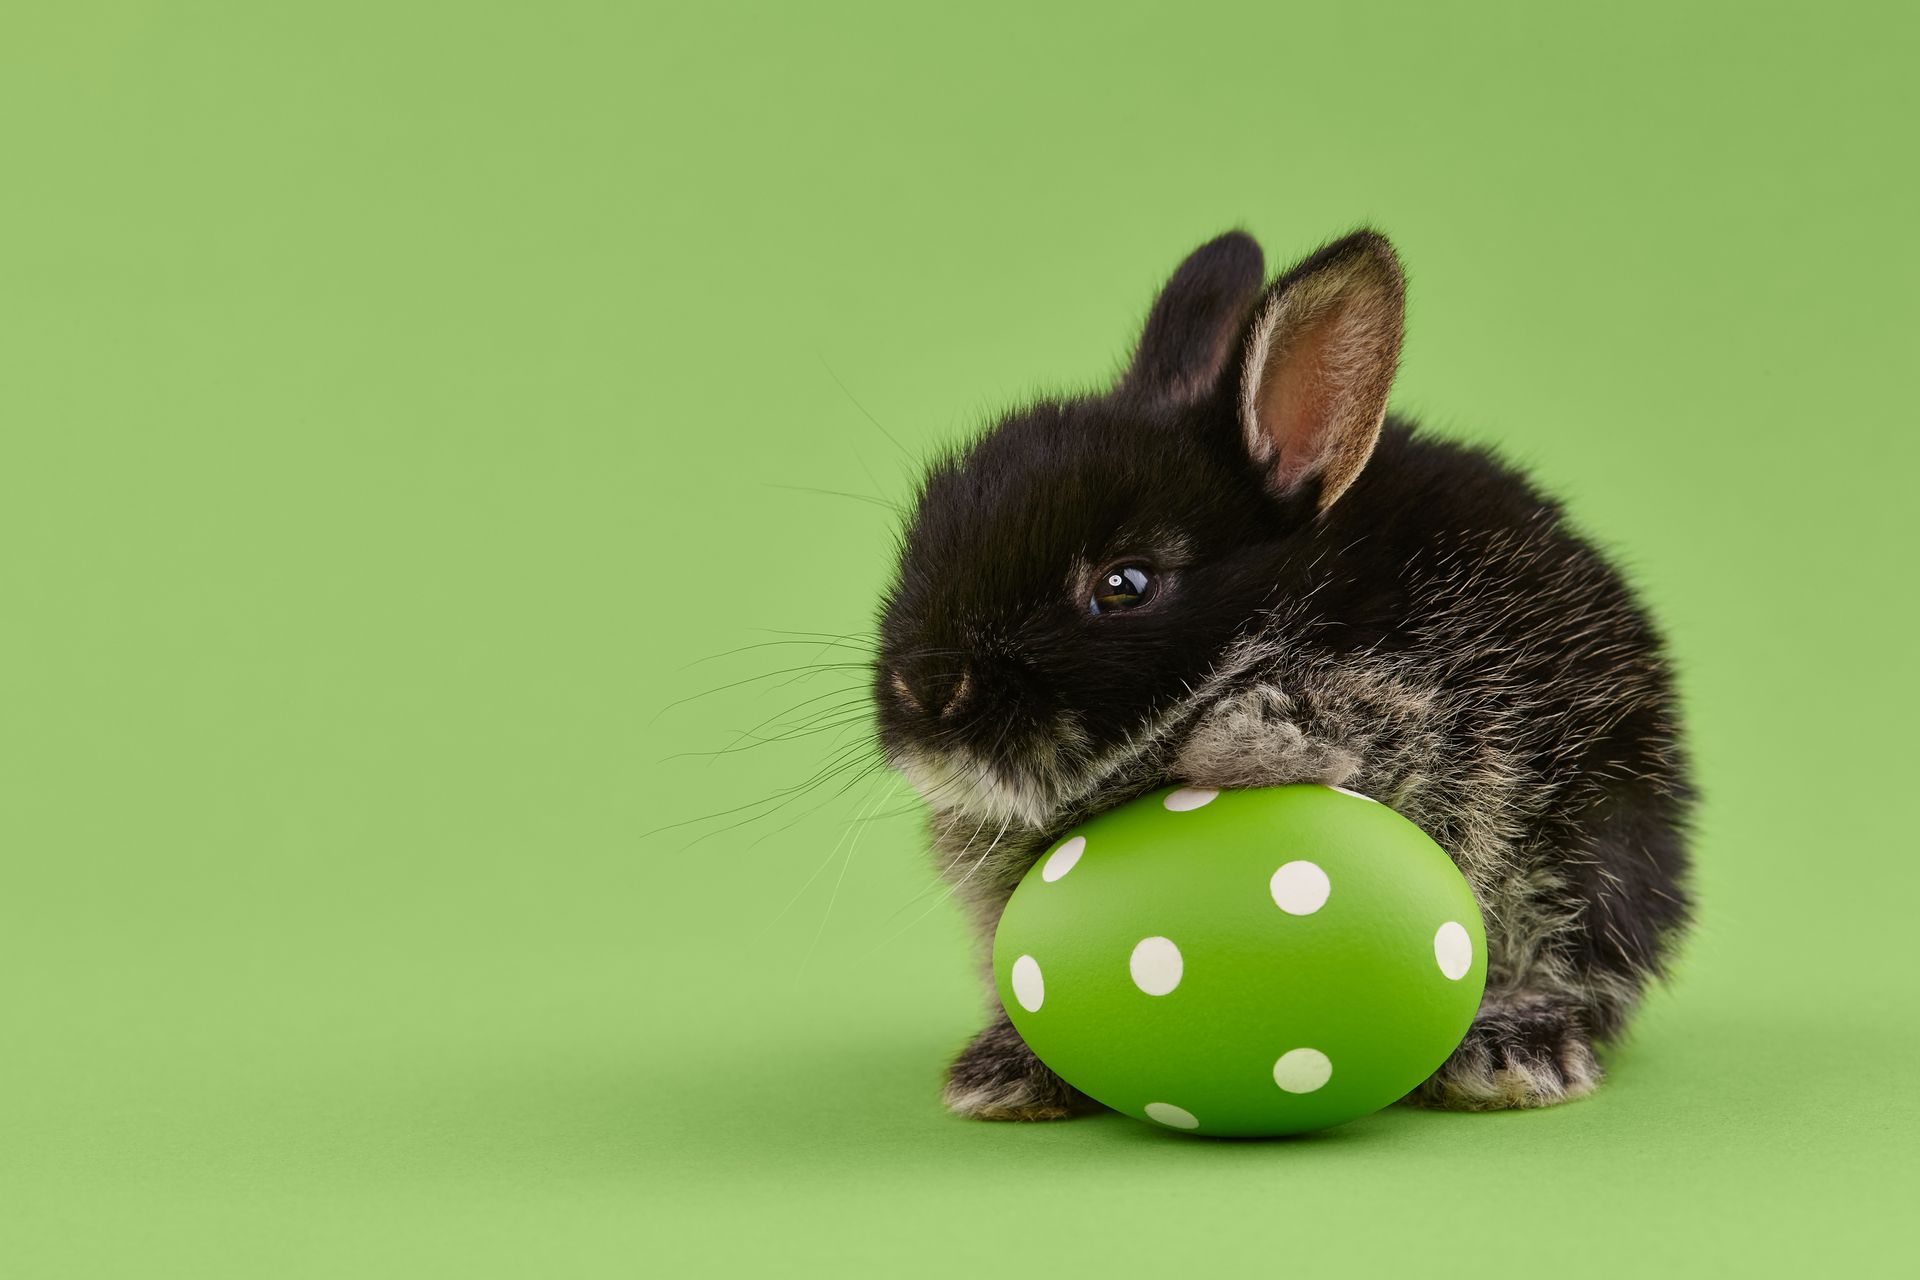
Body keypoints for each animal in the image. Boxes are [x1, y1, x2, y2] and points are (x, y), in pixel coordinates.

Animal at [872, 228, 1693, 1117]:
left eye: (1124, 585)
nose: (927, 690)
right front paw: (1005, 1070)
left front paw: (1231, 740)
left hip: (1594, 848)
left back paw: (1512, 1054)